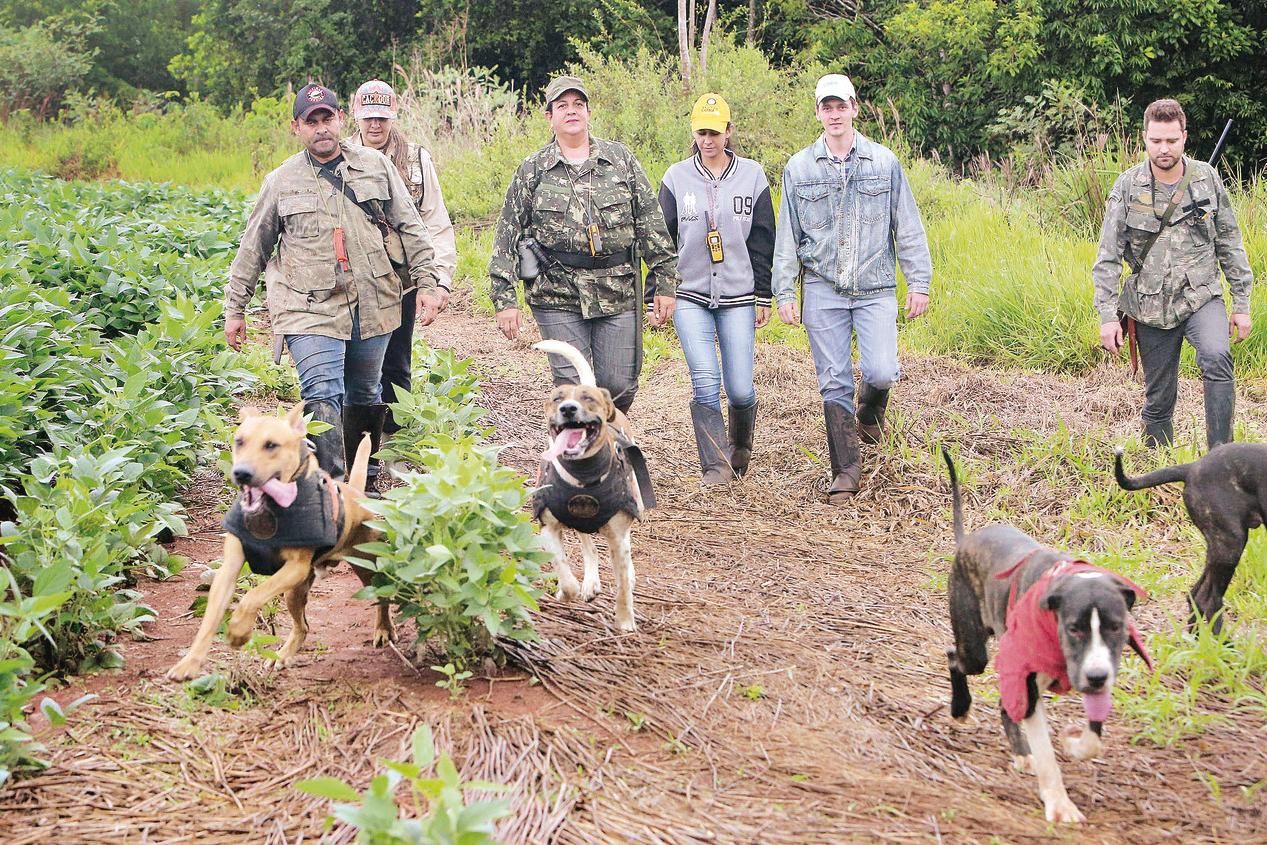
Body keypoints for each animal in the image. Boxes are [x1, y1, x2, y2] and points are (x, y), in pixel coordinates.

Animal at [164, 402, 390, 679]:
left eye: (271, 445)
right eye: (239, 441)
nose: (241, 473)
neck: (267, 513)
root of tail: (355, 494)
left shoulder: (295, 567)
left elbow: (252, 596)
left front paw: (238, 630)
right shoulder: (229, 570)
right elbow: (210, 620)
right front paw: (190, 663)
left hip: (366, 564)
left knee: (383, 596)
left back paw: (384, 630)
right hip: (295, 591)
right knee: (303, 626)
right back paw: (283, 655)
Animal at [532, 339, 658, 630]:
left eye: (588, 398)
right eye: (557, 398)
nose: (568, 408)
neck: (583, 476)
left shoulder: (618, 536)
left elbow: (622, 585)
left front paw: (625, 620)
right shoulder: (549, 528)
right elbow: (563, 568)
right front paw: (566, 592)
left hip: (634, 502)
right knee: (587, 546)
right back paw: (590, 582)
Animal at [942, 448, 1150, 825]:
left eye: (1115, 627)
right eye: (1074, 628)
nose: (1096, 677)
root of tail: (967, 540)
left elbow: (1093, 737)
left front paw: (1074, 744)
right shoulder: (1032, 685)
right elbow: (1047, 756)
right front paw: (1059, 803)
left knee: (1005, 704)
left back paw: (1020, 752)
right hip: (975, 647)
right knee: (955, 656)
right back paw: (960, 709)